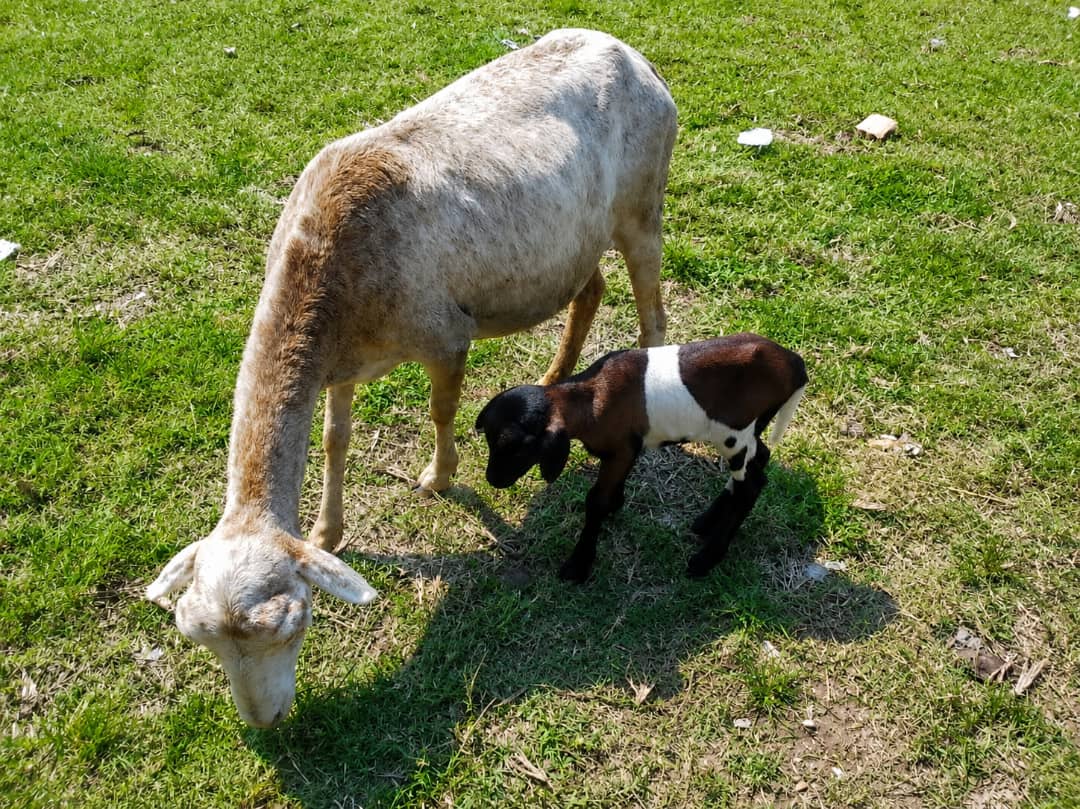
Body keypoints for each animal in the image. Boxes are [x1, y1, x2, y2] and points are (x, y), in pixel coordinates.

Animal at [145, 28, 677, 727]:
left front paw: (438, 478)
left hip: (644, 201)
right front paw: (328, 531)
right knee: (590, 290)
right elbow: (334, 441)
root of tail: (633, 54)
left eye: (295, 624)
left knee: (652, 315)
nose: (265, 722)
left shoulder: (445, 334)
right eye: (197, 636)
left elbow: (441, 410)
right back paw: (554, 376)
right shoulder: (339, 365)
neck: (329, 270)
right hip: (574, 239)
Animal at [475, 333, 808, 582]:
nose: (493, 479)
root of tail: (795, 364)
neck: (590, 397)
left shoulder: (620, 450)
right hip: (753, 428)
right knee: (759, 461)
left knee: (751, 485)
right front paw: (615, 506)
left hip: (734, 436)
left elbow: (595, 501)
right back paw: (705, 522)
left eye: (519, 447)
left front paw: (578, 565)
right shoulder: (627, 451)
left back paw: (706, 559)